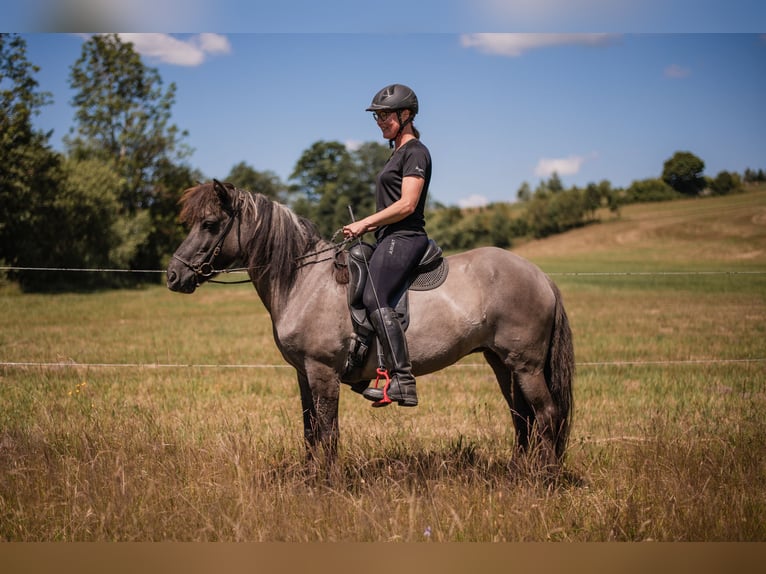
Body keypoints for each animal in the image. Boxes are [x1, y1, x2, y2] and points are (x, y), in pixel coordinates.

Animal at [166, 180, 574, 474]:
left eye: (210, 225)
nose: (173, 275)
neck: (305, 281)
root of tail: (541, 277)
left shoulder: (323, 372)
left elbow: (328, 432)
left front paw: (327, 482)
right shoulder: (303, 373)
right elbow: (309, 429)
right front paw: (310, 477)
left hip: (526, 365)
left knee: (547, 415)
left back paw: (543, 479)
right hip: (501, 363)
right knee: (522, 417)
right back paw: (518, 473)